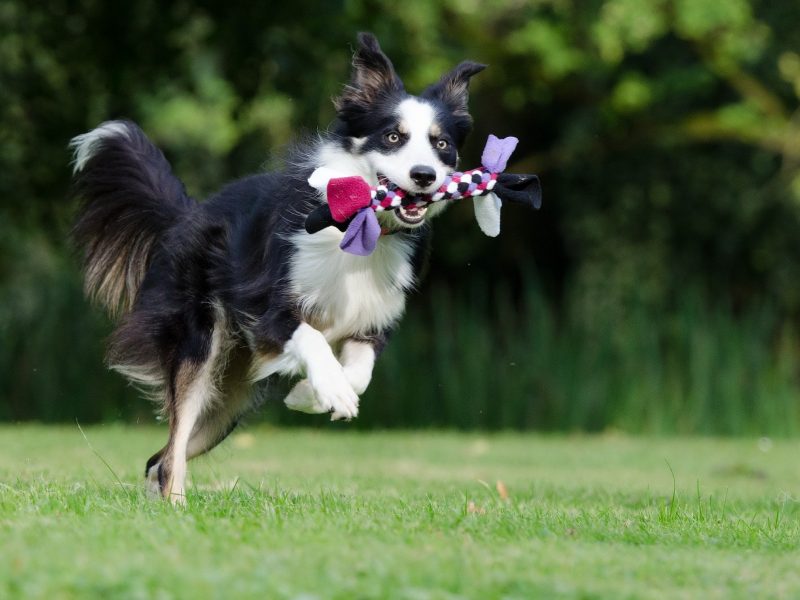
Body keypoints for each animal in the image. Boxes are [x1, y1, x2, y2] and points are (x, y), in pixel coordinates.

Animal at [72, 32, 484, 502]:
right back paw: (176, 507)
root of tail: (187, 214)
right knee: (172, 449)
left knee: (158, 458)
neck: (362, 227)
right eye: (394, 136)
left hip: (228, 400)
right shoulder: (265, 307)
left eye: (442, 144)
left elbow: (360, 372)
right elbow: (312, 338)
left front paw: (311, 394)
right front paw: (330, 391)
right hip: (201, 345)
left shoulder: (373, 319)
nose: (424, 175)